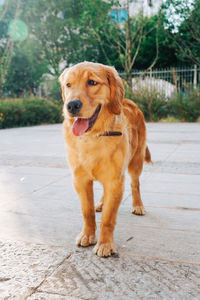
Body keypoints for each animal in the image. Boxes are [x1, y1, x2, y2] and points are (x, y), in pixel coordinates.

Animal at [59, 61, 152, 258]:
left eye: (92, 82)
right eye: (68, 85)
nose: (71, 105)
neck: (93, 137)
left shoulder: (115, 181)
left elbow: (108, 218)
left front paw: (105, 244)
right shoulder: (80, 180)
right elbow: (87, 211)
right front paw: (87, 234)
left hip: (136, 161)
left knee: (135, 184)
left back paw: (138, 205)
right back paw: (101, 203)